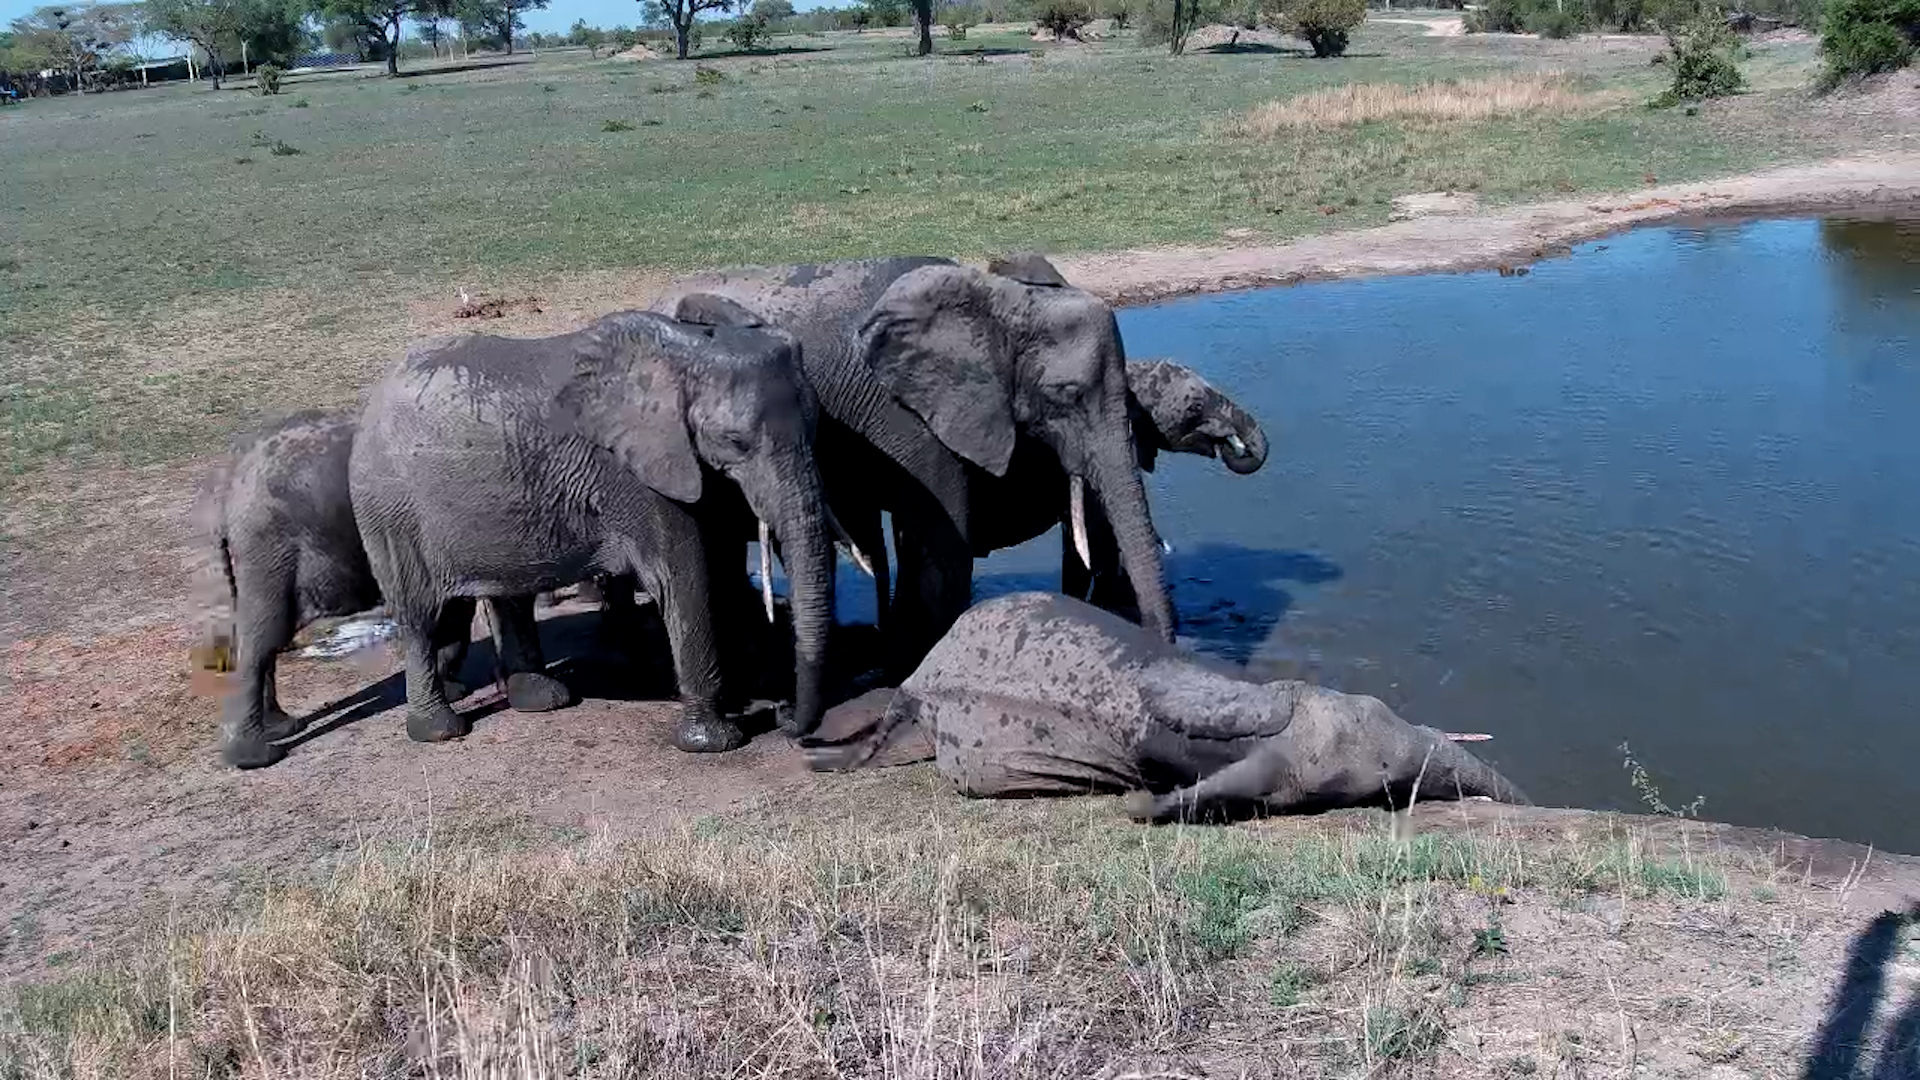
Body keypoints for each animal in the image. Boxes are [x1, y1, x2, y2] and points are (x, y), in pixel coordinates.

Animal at [348, 307, 835, 753]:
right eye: (736, 442)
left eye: (816, 426)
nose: (787, 719)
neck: (688, 353)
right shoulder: (635, 472)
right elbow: (685, 576)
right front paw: (714, 741)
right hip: (391, 512)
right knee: (420, 618)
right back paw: (440, 731)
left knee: (511, 597)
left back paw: (542, 700)